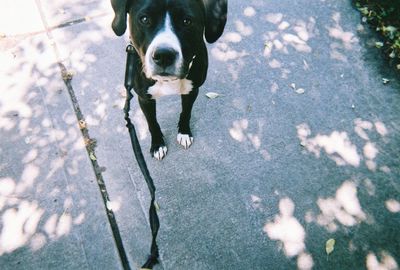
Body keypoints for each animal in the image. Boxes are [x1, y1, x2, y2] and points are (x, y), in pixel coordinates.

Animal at [111, 0, 227, 160]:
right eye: (144, 19)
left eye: (187, 21)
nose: (164, 55)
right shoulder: (145, 98)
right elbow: (152, 122)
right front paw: (157, 144)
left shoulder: (192, 90)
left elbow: (186, 112)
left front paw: (184, 133)